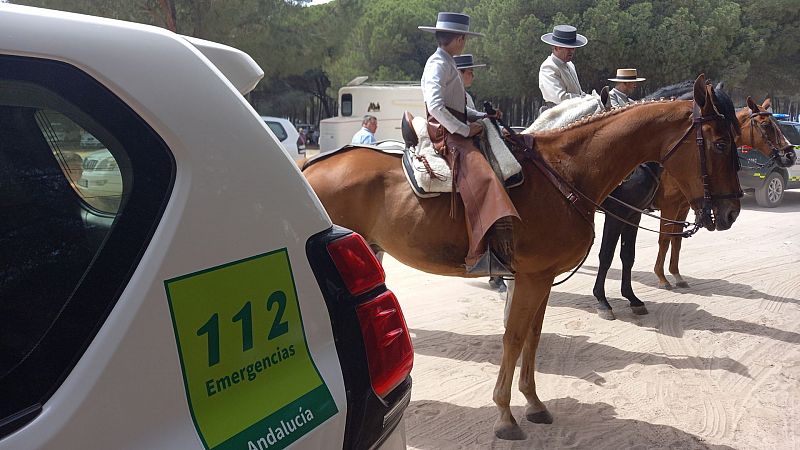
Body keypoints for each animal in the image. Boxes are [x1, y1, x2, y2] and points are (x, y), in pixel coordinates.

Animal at [304, 76, 740, 440]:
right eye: (720, 143)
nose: (731, 211)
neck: (566, 172)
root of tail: (311, 168)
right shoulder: (531, 277)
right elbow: (513, 337)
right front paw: (505, 415)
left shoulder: (541, 277)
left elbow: (533, 335)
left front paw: (533, 403)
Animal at [652, 97, 796, 288]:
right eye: (766, 125)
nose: (791, 155)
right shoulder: (670, 206)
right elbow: (665, 239)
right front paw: (661, 276)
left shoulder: (683, 207)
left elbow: (677, 240)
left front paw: (676, 274)